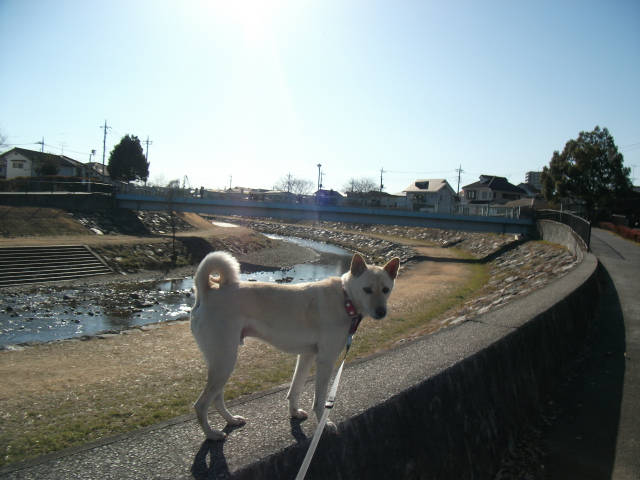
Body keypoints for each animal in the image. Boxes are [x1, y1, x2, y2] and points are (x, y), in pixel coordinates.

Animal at [190, 250, 400, 440]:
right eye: (367, 289)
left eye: (385, 289)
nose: (381, 311)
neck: (345, 298)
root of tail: (207, 291)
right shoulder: (325, 361)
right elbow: (319, 401)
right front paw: (324, 424)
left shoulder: (307, 356)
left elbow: (295, 389)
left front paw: (294, 413)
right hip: (225, 362)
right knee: (201, 404)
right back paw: (211, 435)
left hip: (222, 363)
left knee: (216, 399)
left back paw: (231, 420)